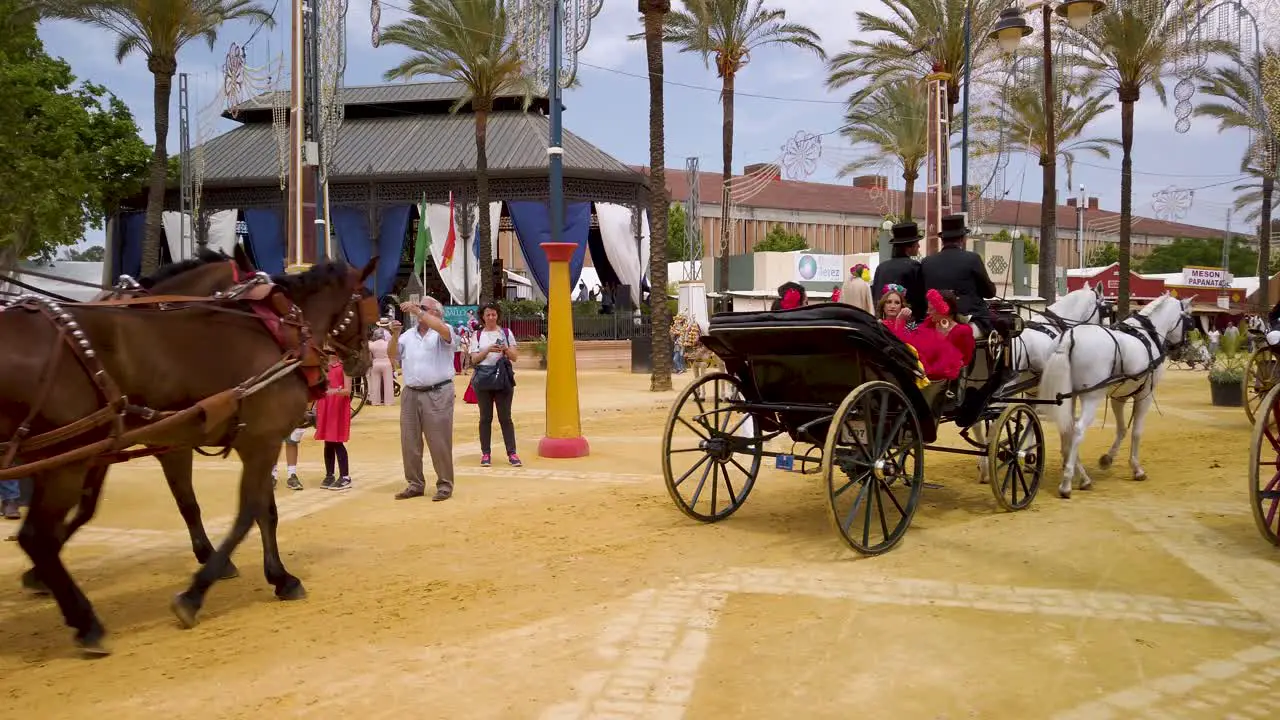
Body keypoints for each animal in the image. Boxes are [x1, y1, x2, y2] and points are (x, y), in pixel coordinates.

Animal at [2, 257, 373, 650]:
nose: (362, 362)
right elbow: (245, 512)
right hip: (66, 457)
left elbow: (246, 510)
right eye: (368, 306)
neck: (281, 334)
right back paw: (86, 621)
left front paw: (275, 575)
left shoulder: (189, 444)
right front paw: (198, 591)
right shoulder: (254, 441)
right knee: (36, 536)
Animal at [1034, 294, 1192, 497]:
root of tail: (1069, 336)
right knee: (1078, 430)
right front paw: (1137, 468)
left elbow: (1122, 429)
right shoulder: (1145, 395)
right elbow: (1136, 431)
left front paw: (1107, 459)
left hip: (1068, 397)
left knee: (1066, 429)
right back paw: (1067, 483)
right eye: (1189, 321)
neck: (1147, 335)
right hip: (1091, 397)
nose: (1181, 350)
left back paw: (1082, 477)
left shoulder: (1119, 397)